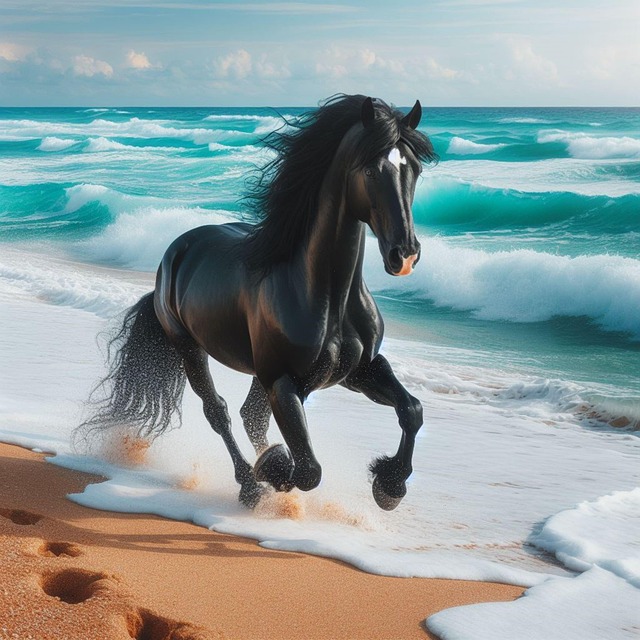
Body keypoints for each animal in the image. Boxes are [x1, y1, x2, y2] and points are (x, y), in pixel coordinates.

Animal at [79, 94, 437, 511]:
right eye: (369, 170)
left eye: (414, 168)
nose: (405, 255)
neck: (327, 296)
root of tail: (176, 250)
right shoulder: (284, 381)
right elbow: (307, 470)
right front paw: (272, 469)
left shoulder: (359, 370)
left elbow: (412, 410)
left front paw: (389, 485)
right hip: (190, 349)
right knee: (218, 412)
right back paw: (249, 484)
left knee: (250, 415)